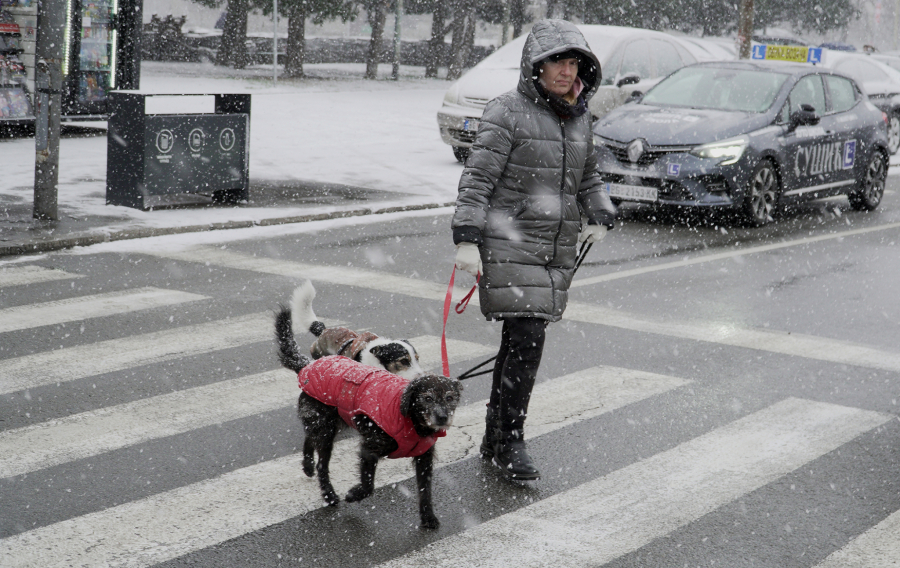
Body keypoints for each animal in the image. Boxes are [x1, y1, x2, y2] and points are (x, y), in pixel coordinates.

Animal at [274, 306, 460, 528]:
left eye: (450, 398)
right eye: (427, 398)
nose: (442, 417)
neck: (410, 417)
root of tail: (308, 366)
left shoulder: (424, 458)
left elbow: (426, 491)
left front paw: (428, 517)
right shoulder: (370, 446)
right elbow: (369, 483)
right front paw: (355, 494)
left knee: (309, 438)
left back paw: (307, 466)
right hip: (326, 427)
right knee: (322, 463)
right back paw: (329, 495)